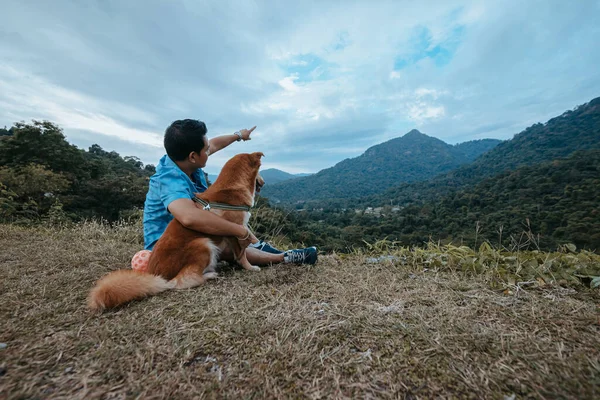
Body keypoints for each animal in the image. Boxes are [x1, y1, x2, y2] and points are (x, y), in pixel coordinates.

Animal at [88, 152, 264, 310]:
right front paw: (250, 267)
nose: (263, 182)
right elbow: (242, 254)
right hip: (203, 244)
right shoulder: (235, 231)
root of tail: (156, 275)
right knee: (181, 282)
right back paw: (208, 275)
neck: (232, 187)